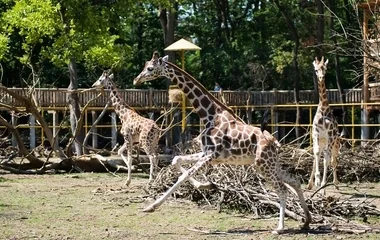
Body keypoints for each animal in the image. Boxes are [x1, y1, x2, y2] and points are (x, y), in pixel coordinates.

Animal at [134, 51, 312, 233]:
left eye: (150, 68)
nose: (136, 80)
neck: (210, 115)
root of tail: (274, 143)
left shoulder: (211, 155)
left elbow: (183, 176)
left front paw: (151, 207)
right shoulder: (208, 153)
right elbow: (177, 160)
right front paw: (207, 185)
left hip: (263, 165)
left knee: (282, 189)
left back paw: (280, 227)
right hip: (270, 164)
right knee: (294, 181)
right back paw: (306, 221)